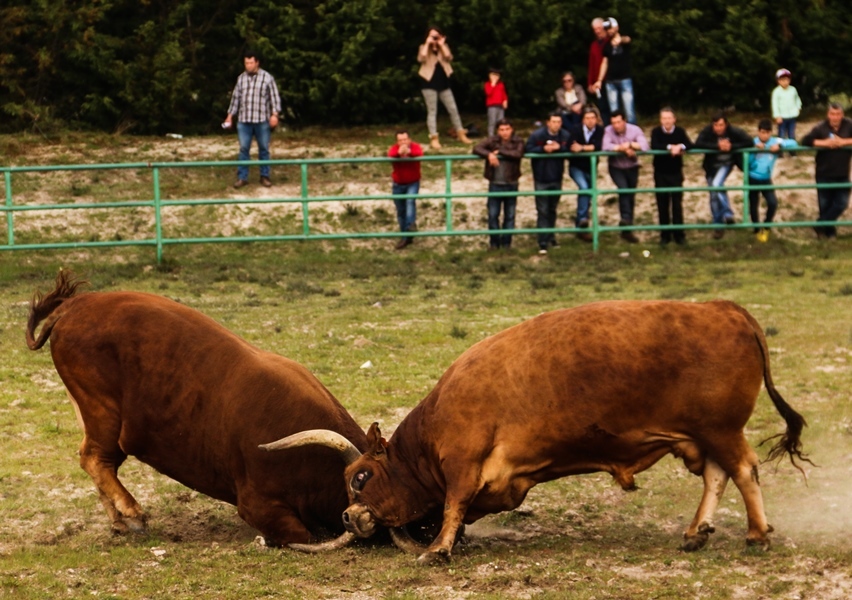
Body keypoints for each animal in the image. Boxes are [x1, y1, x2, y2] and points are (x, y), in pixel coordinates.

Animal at [25, 270, 366, 552]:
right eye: (365, 481)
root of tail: (75, 305)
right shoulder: (259, 505)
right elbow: (298, 534)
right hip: (103, 414)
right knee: (95, 458)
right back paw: (133, 514)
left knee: (94, 460)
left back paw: (119, 521)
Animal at [270, 302, 808, 564]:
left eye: (360, 477)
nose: (348, 515)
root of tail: (726, 308)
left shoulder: (464, 462)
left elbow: (453, 504)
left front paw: (439, 550)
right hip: (703, 436)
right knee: (717, 475)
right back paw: (697, 532)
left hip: (721, 430)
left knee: (743, 471)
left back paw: (757, 535)